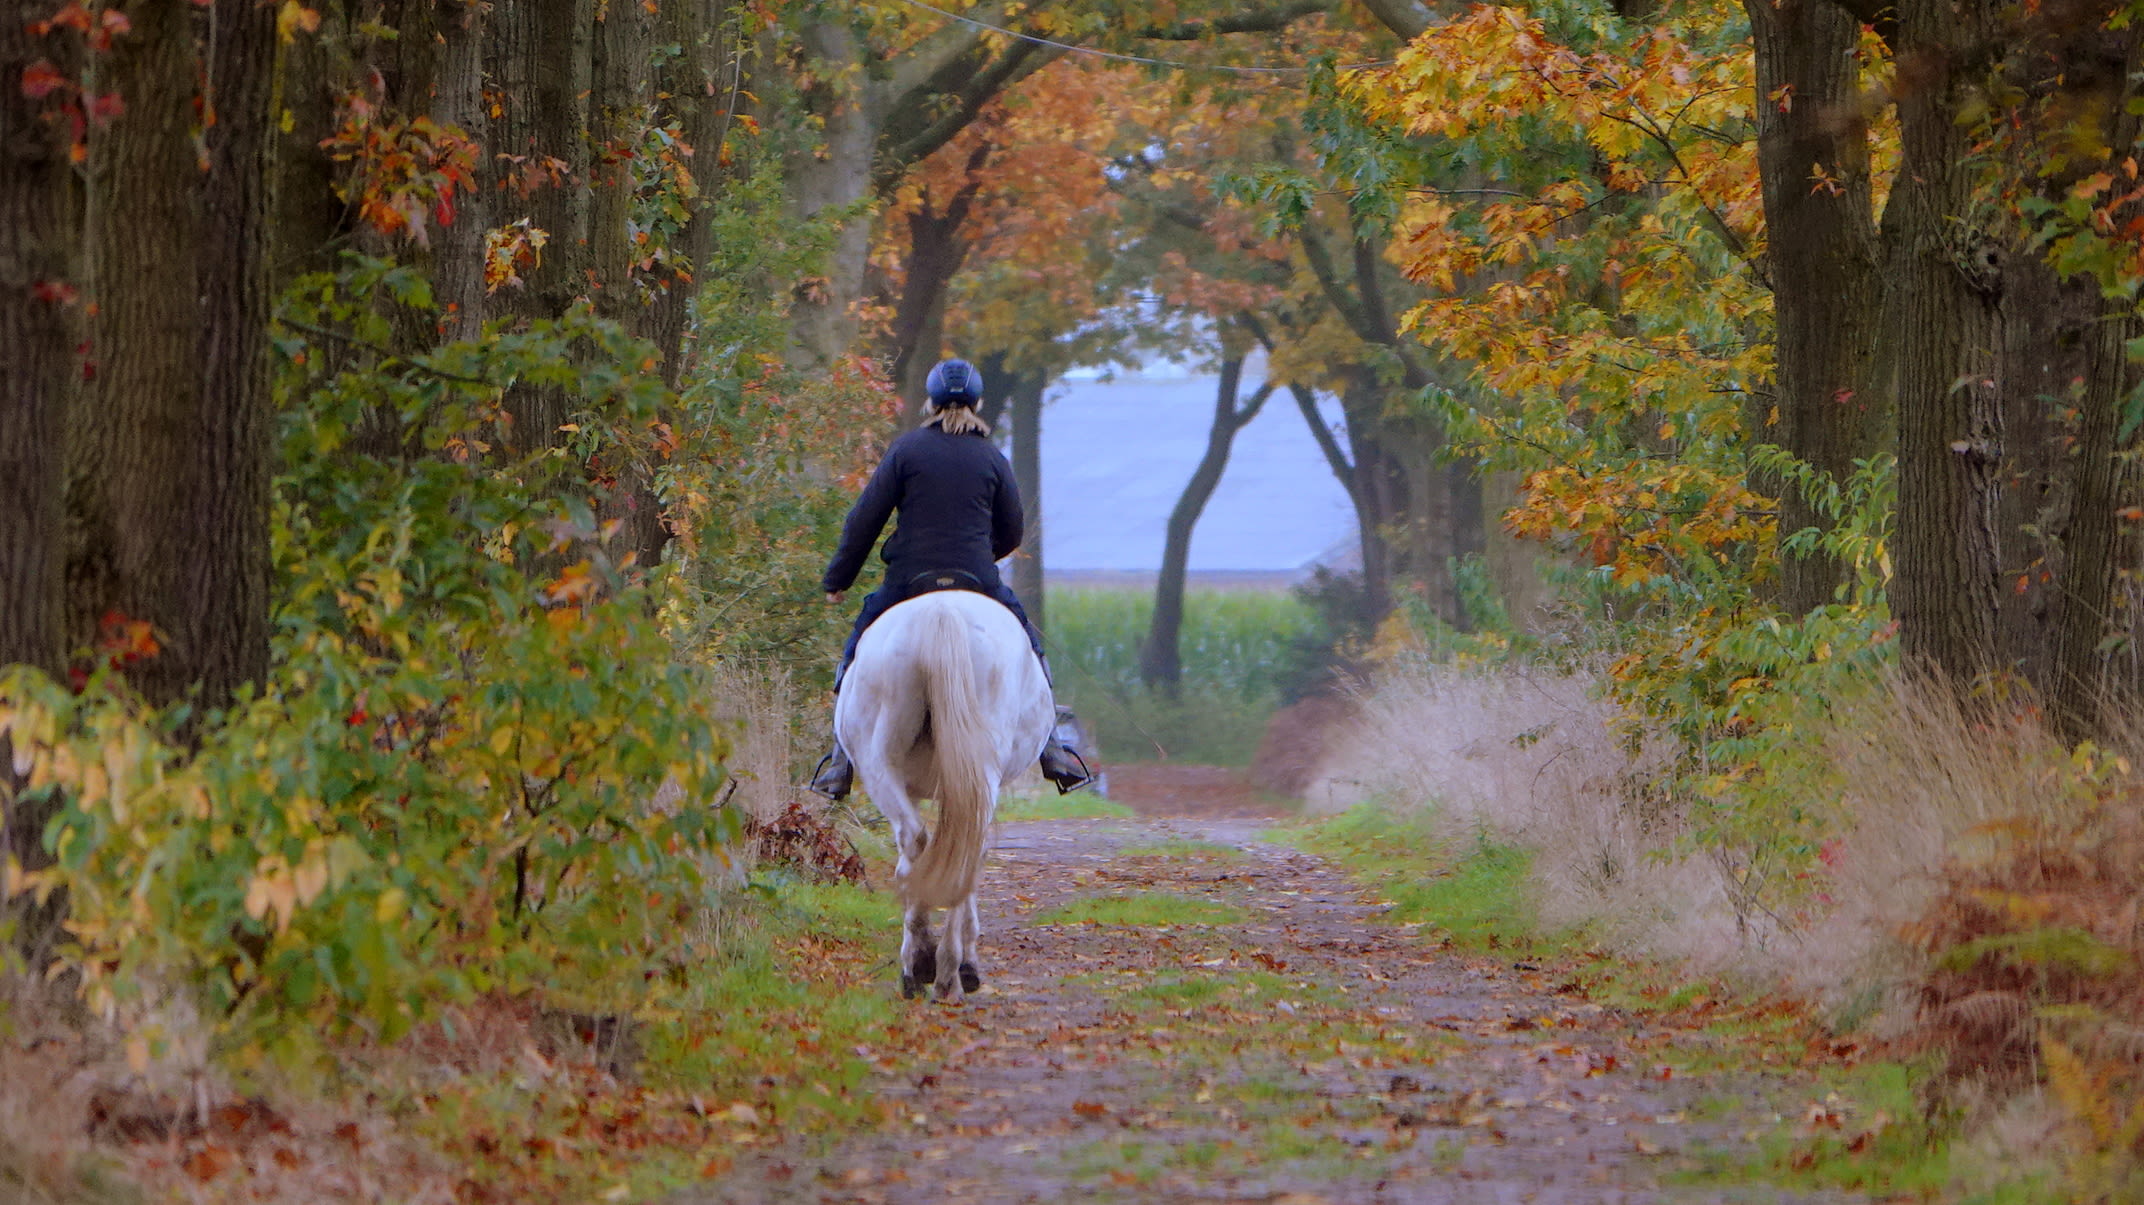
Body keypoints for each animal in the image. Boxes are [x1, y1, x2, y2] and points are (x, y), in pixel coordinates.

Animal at [827, 587, 1054, 994]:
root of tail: (941, 613)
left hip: (880, 765)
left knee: (916, 843)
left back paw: (923, 963)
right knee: (959, 849)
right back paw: (947, 967)